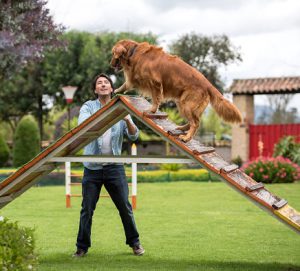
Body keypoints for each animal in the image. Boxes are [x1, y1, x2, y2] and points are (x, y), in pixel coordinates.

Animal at [111, 39, 243, 142]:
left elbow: (155, 98)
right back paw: (182, 129)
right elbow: (125, 85)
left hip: (187, 104)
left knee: (195, 123)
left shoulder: (155, 83)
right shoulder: (134, 79)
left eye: (113, 53)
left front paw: (151, 110)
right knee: (195, 121)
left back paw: (186, 137)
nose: (111, 64)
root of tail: (207, 84)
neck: (133, 51)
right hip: (183, 103)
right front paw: (116, 90)